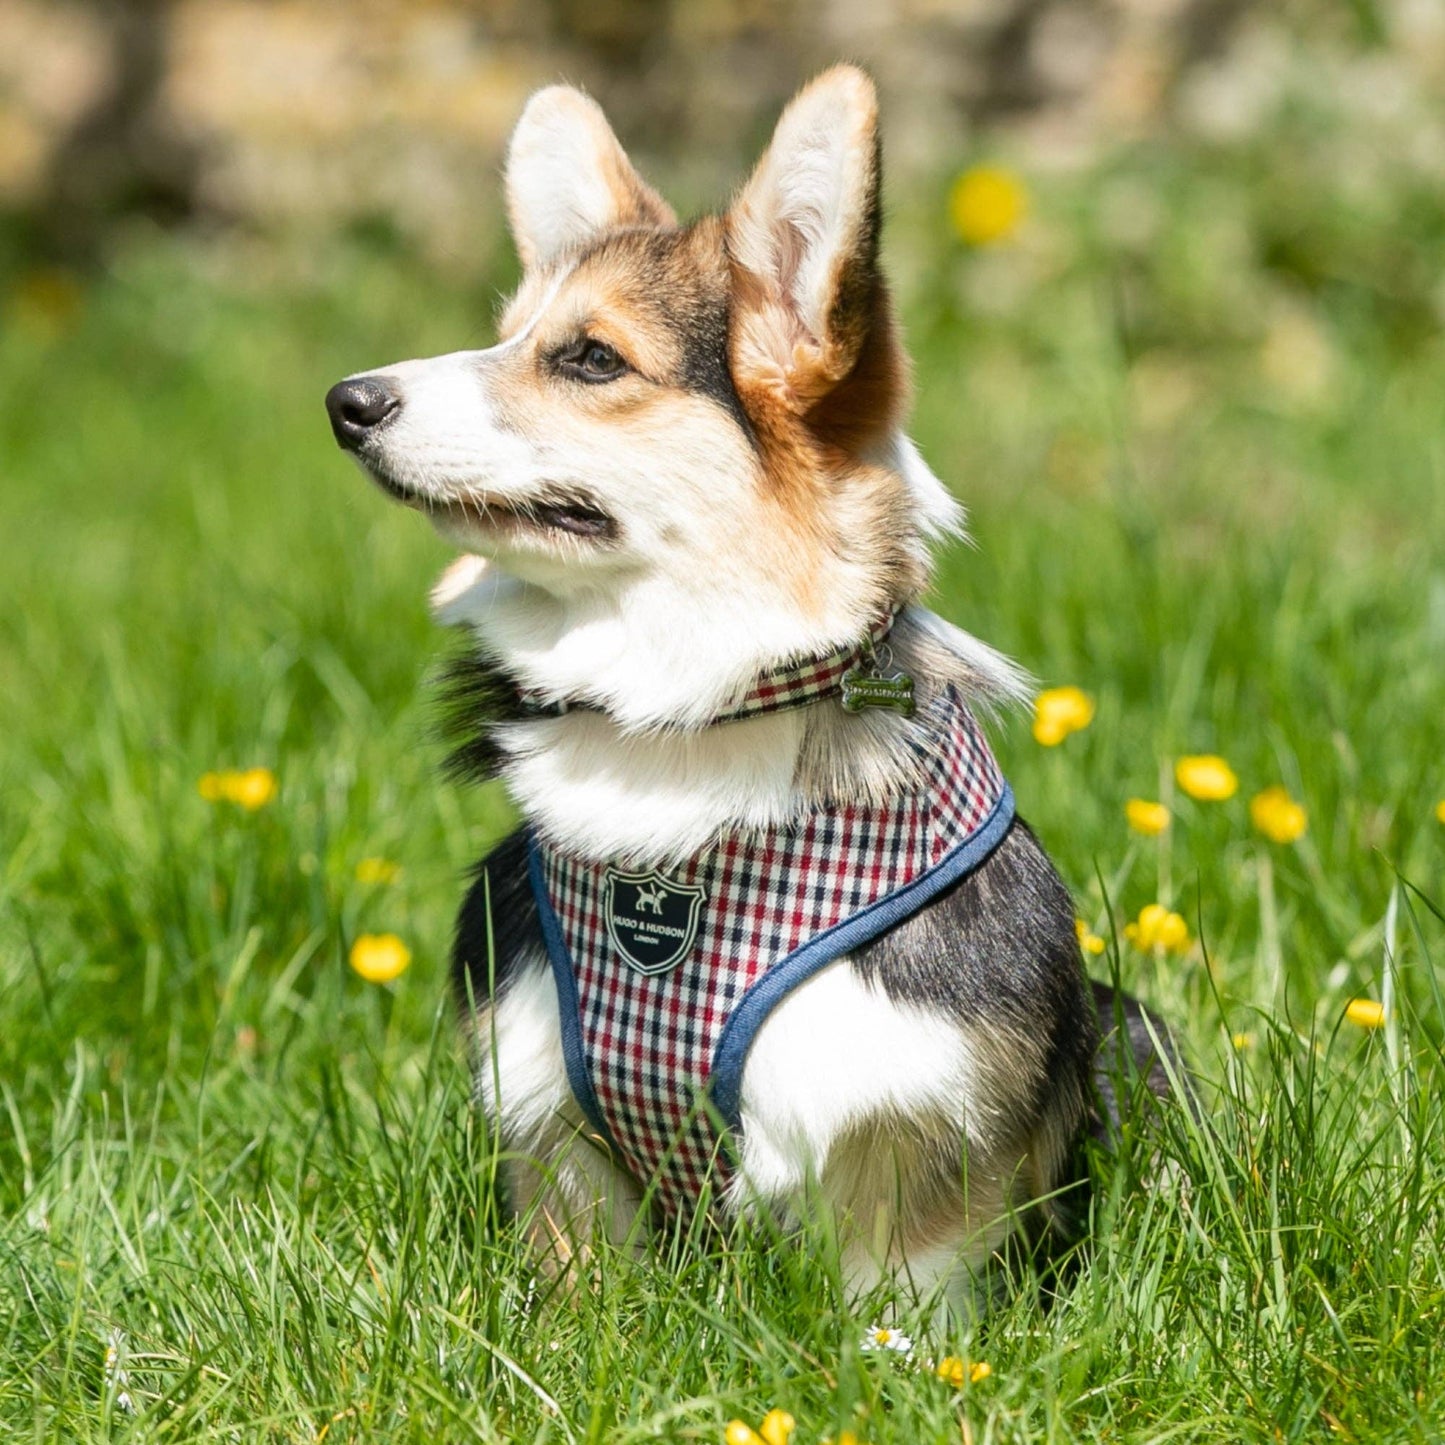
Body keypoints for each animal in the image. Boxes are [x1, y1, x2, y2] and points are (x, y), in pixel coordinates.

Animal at [322, 67, 1167, 1317]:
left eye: (589, 359)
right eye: (508, 333)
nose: (345, 400)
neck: (684, 709)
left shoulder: (923, 1121)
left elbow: (908, 1299)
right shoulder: (547, 1120)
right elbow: (581, 1284)